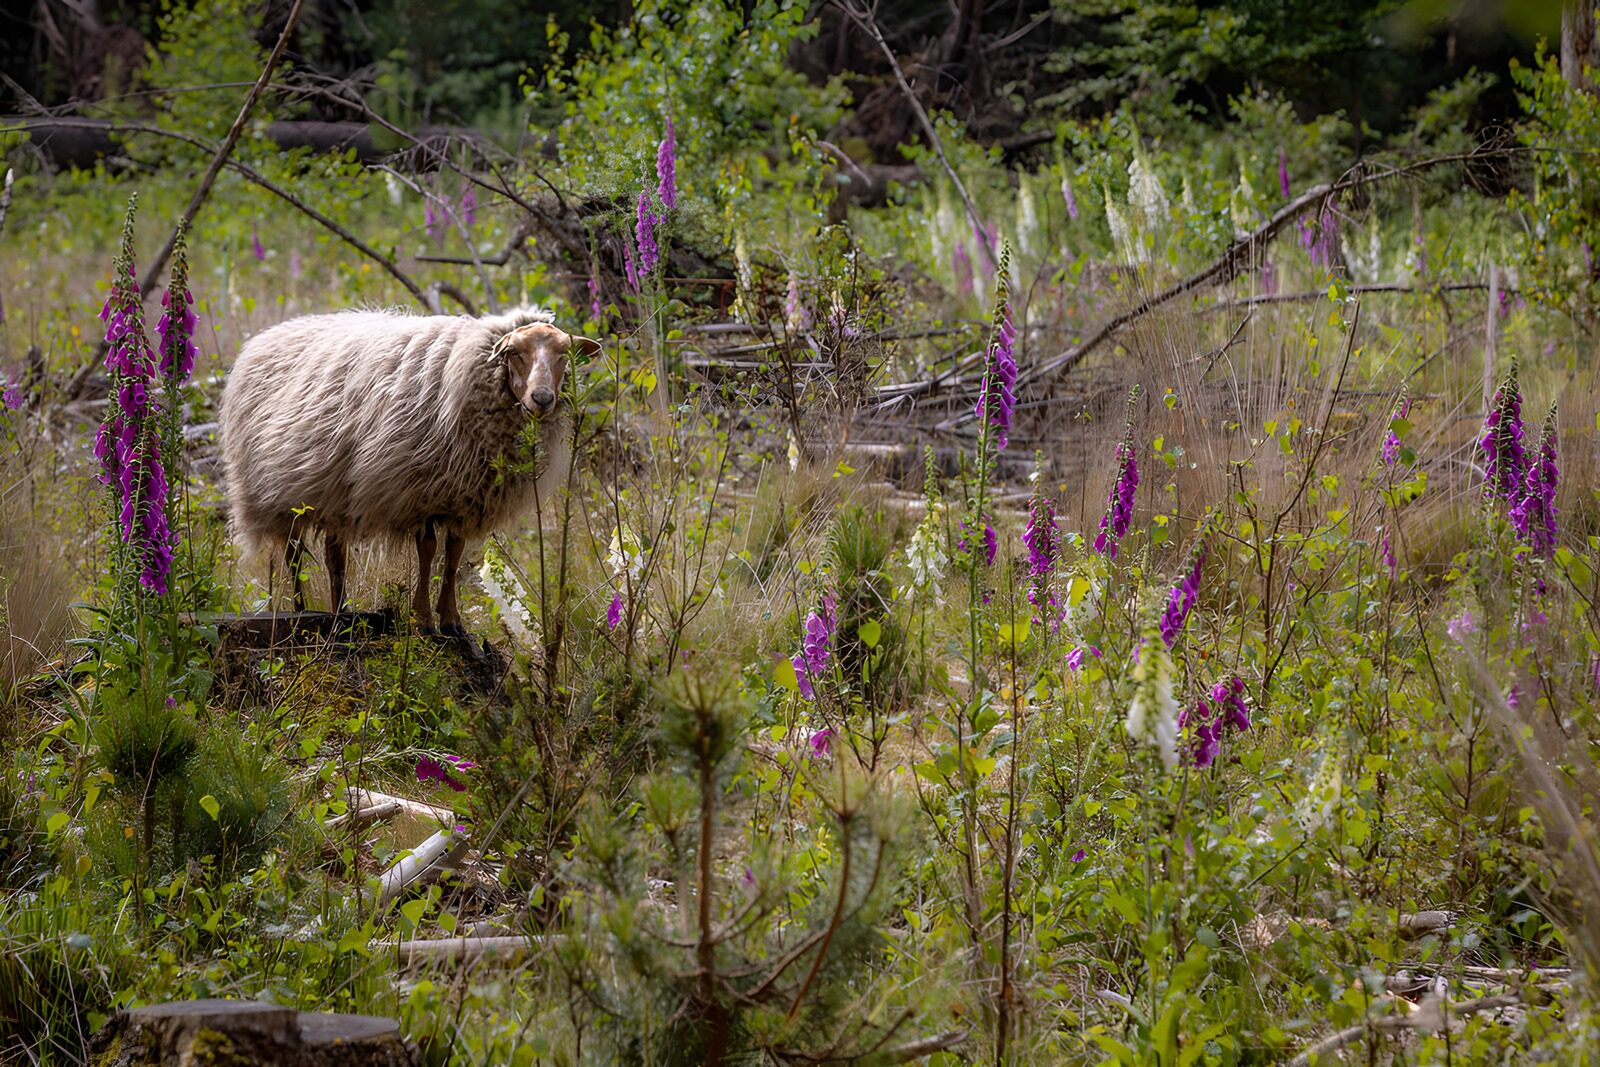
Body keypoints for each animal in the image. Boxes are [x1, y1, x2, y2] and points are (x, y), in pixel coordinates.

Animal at [219, 305, 598, 634]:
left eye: (564, 354)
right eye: (514, 352)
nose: (542, 398)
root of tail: (267, 335)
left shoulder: (463, 497)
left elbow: (453, 556)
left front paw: (452, 621)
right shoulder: (418, 492)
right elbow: (428, 551)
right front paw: (424, 620)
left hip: (333, 491)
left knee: (333, 556)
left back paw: (342, 613)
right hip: (278, 495)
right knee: (294, 557)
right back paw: (301, 611)